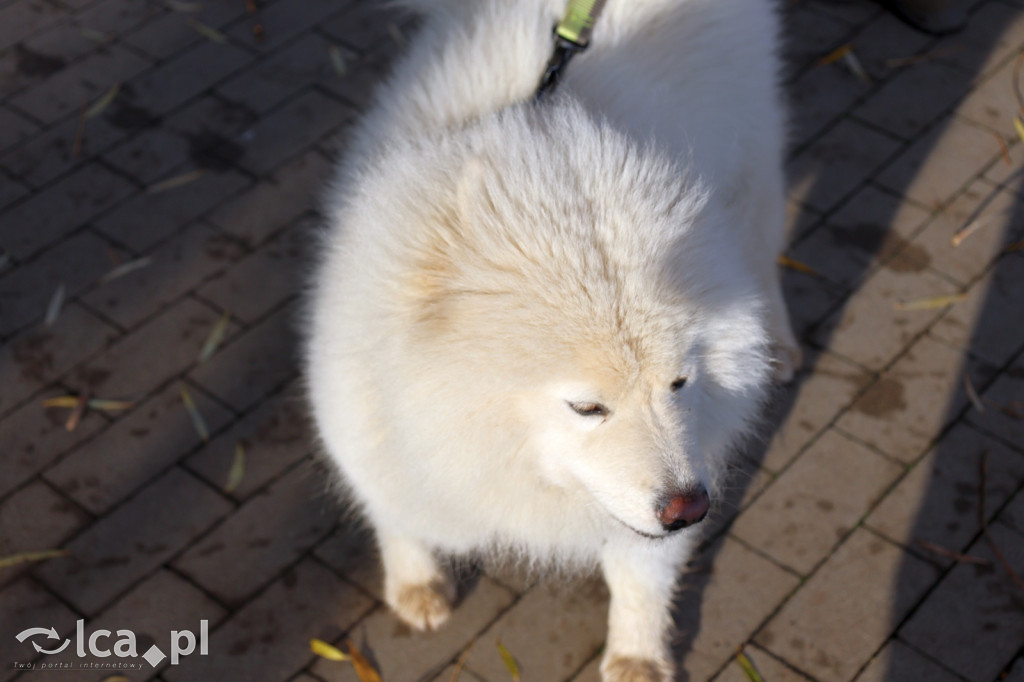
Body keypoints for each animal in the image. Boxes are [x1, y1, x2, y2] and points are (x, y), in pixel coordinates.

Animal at [305, 1, 798, 675]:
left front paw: (637, 658)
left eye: (680, 382)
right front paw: (416, 584)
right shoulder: (371, 431)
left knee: (764, 255)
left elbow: (642, 576)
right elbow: (396, 515)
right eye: (587, 407)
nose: (688, 507)